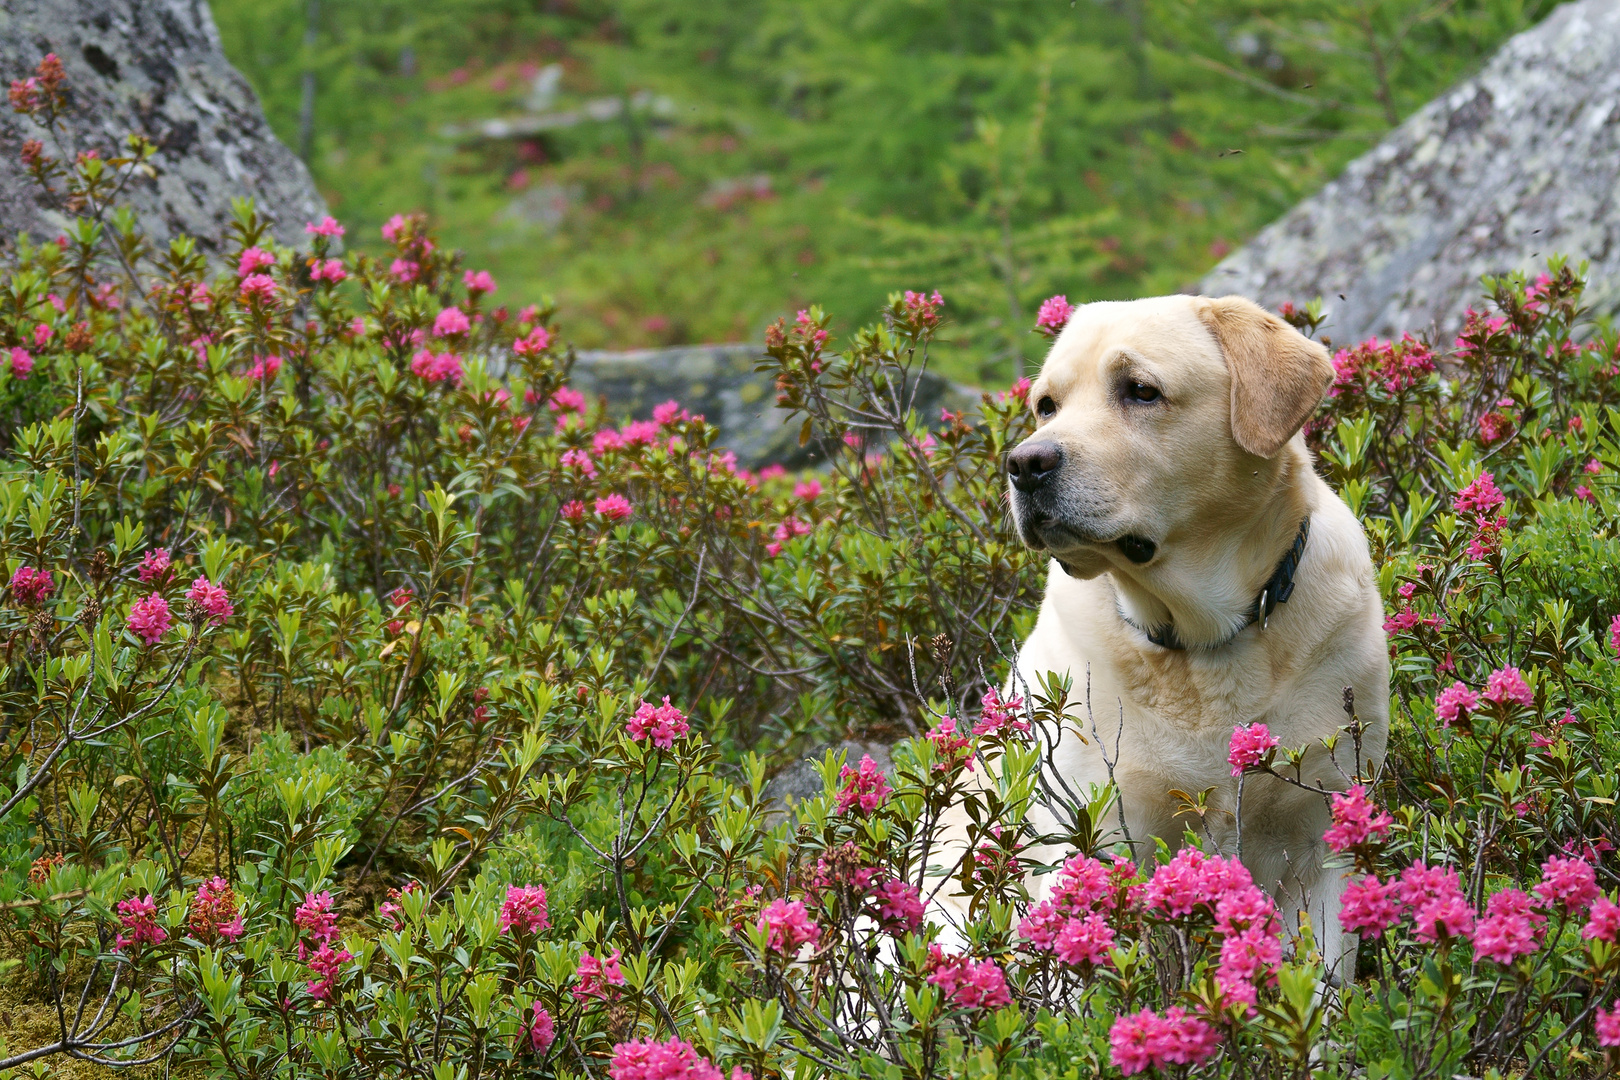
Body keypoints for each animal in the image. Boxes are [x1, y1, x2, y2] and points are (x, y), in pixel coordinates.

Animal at [959, 293, 1393, 977]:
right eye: (1046, 405)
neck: (1199, 643)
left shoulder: (1323, 838)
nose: (1025, 464)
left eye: (1140, 390)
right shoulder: (1094, 840)